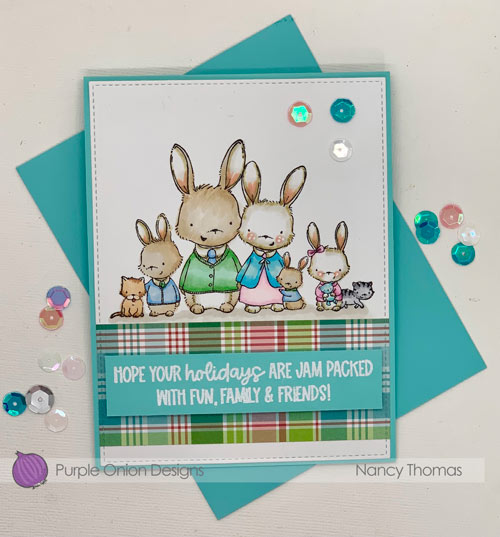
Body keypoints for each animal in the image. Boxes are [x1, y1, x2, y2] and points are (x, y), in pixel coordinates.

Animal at [170, 140, 246, 314]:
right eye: (191, 224)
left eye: (230, 222)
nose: (212, 232)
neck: (211, 251)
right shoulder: (188, 272)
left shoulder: (235, 265)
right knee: (193, 300)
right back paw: (197, 308)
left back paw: (226, 307)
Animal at [236, 160, 307, 314]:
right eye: (249, 229)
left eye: (280, 233)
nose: (266, 236)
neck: (264, 254)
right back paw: (254, 307)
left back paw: (275, 306)